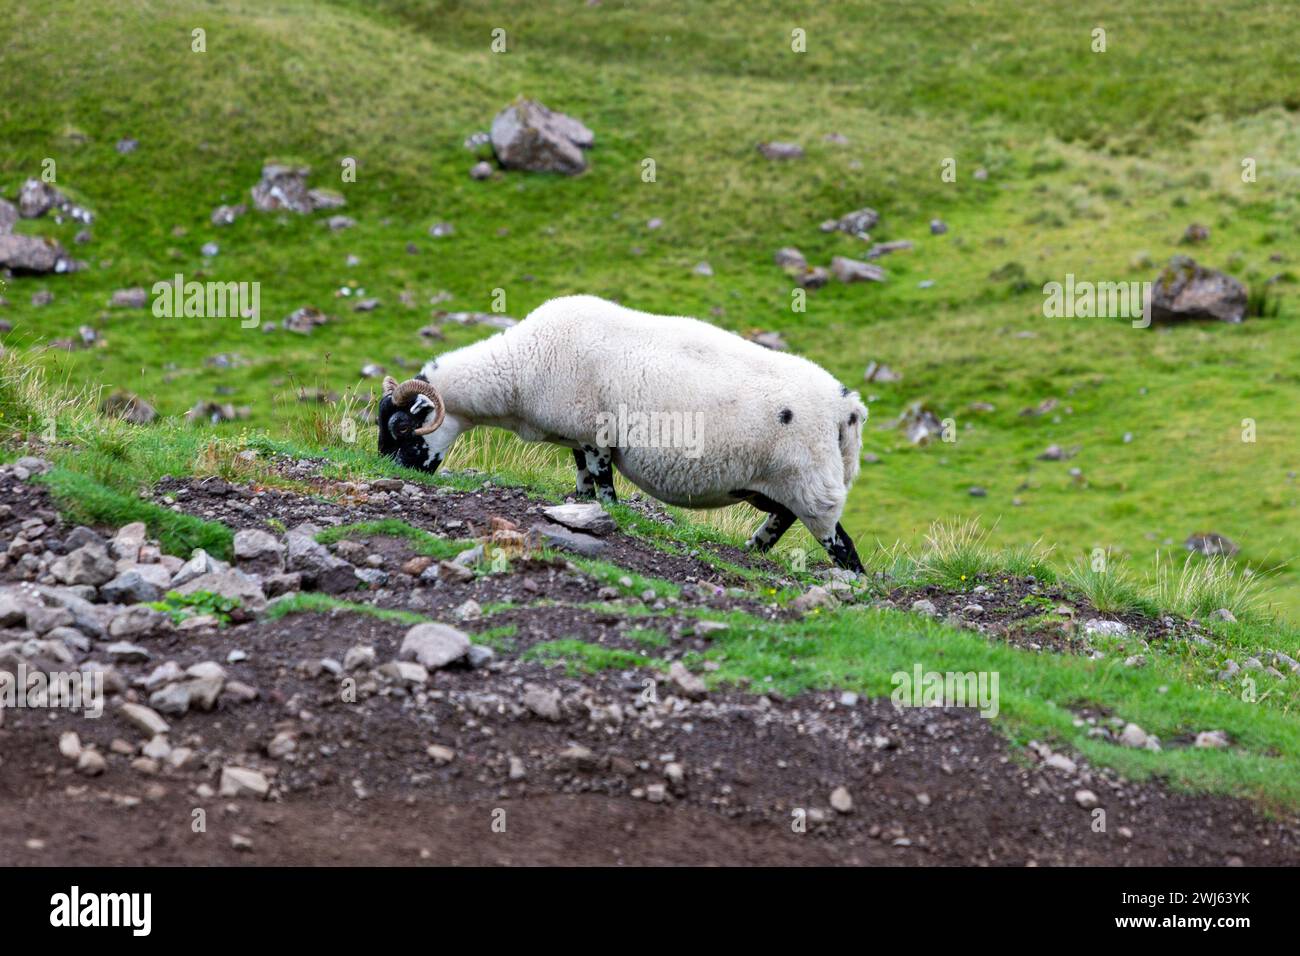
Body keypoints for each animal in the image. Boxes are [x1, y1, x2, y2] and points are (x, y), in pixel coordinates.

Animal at [374, 295, 863, 572]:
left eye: (402, 426)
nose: (383, 469)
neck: (520, 366)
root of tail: (846, 406)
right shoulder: (576, 438)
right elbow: (583, 484)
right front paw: (577, 510)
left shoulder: (597, 435)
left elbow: (605, 488)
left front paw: (607, 517)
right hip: (785, 484)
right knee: (782, 518)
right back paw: (753, 549)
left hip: (813, 484)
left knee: (842, 545)